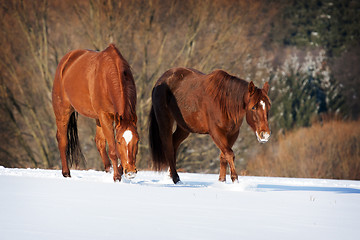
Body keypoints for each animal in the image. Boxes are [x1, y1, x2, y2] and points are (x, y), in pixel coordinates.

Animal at [51, 44, 139, 181]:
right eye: (119, 141)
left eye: (137, 141)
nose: (131, 172)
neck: (109, 76)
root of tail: (66, 60)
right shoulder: (105, 116)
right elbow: (113, 150)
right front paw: (117, 177)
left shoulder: (108, 117)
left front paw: (118, 170)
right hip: (63, 111)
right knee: (62, 139)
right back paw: (66, 173)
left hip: (97, 118)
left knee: (99, 142)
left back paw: (108, 169)